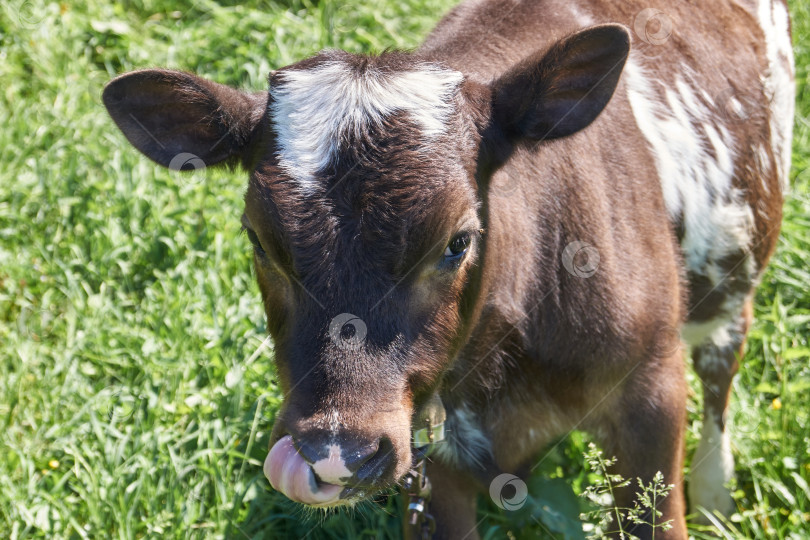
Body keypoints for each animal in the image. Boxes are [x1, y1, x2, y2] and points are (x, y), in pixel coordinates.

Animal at [101, 0, 788, 536]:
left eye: (457, 241)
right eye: (260, 241)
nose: (334, 454)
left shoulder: (649, 397)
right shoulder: (431, 468)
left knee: (723, 365)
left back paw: (717, 491)